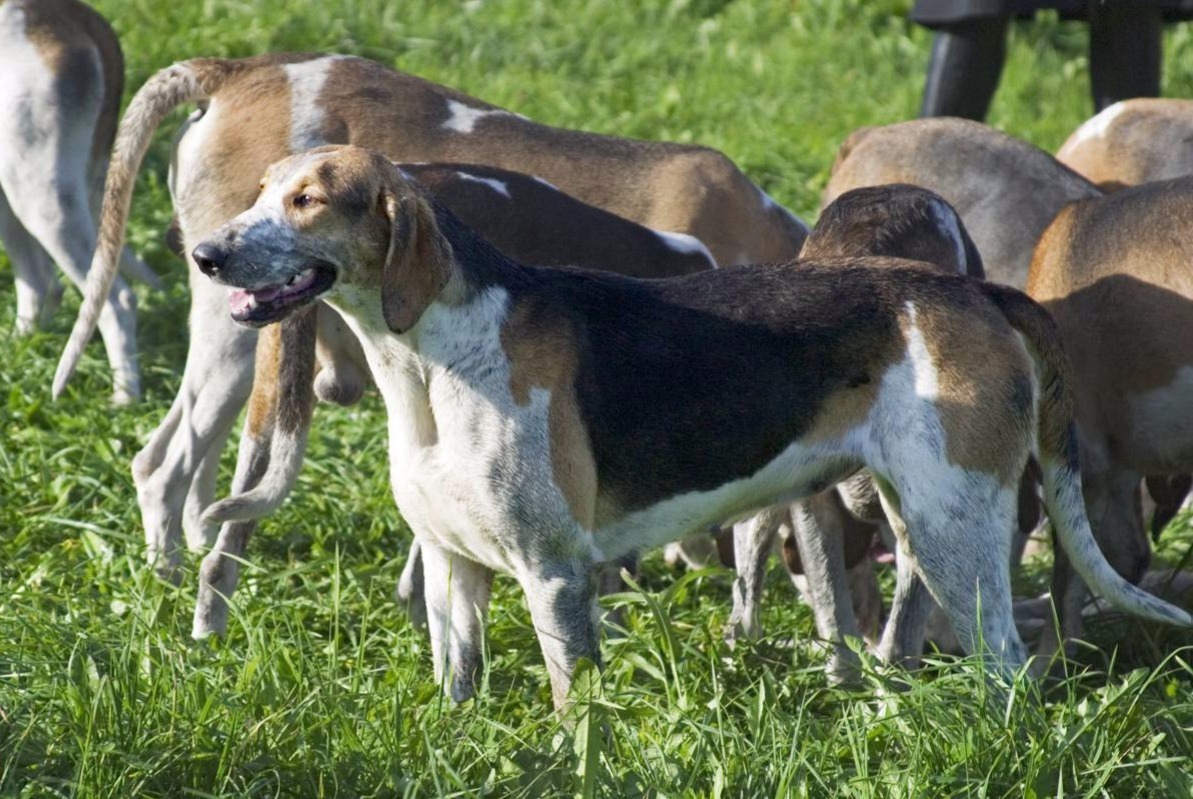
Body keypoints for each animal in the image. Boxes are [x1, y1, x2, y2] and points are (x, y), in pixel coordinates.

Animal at [51, 54, 806, 581]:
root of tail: (242, 69)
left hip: (239, 354)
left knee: (191, 465)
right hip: (227, 335)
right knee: (161, 466)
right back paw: (170, 577)